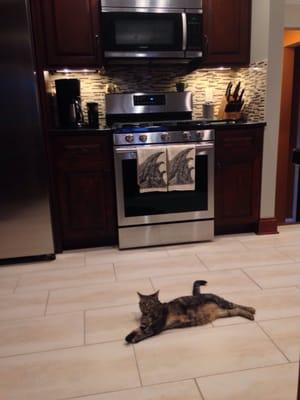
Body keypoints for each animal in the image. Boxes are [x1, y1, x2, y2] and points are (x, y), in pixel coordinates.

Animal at [125, 282, 255, 344]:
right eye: (143, 303)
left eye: (151, 303)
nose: (146, 308)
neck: (148, 316)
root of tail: (199, 294)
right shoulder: (144, 325)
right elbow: (138, 329)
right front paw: (129, 336)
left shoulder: (156, 326)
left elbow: (145, 333)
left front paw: (134, 339)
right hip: (224, 313)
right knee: (236, 310)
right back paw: (250, 315)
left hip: (223, 303)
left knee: (237, 305)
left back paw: (251, 309)